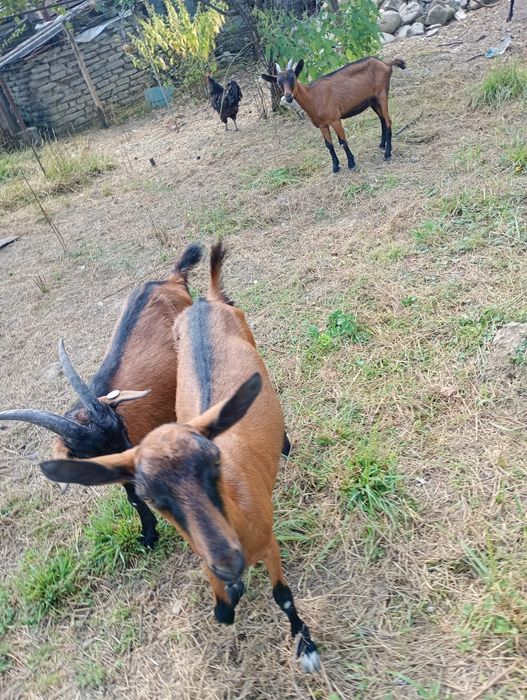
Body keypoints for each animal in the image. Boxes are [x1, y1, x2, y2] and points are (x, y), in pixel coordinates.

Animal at [39, 242, 320, 673]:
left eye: (215, 464)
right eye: (153, 496)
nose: (229, 560)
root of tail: (208, 300)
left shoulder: (269, 541)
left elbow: (283, 596)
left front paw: (306, 645)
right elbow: (223, 610)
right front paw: (230, 596)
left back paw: (285, 444)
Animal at [262, 57, 406, 173]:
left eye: (293, 78)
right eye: (278, 82)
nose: (288, 97)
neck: (313, 96)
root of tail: (386, 64)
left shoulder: (335, 120)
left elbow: (342, 141)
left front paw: (351, 164)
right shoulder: (322, 125)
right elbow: (329, 145)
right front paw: (335, 167)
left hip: (382, 94)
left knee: (388, 121)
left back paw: (387, 154)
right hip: (373, 101)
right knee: (382, 119)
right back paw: (382, 145)